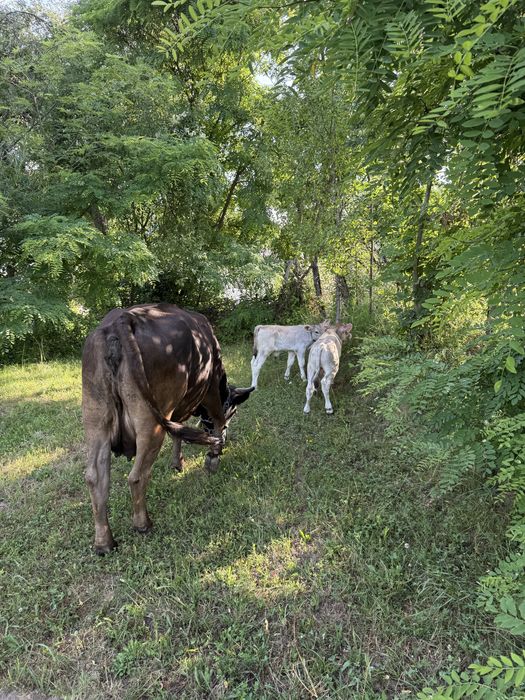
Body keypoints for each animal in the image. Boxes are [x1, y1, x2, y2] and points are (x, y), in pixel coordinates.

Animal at [82, 303, 253, 554]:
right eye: (233, 412)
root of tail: (121, 321)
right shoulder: (211, 388)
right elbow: (217, 419)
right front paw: (214, 456)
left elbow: (178, 433)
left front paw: (177, 462)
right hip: (150, 423)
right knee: (137, 476)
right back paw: (143, 524)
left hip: (96, 419)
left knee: (95, 477)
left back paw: (104, 542)